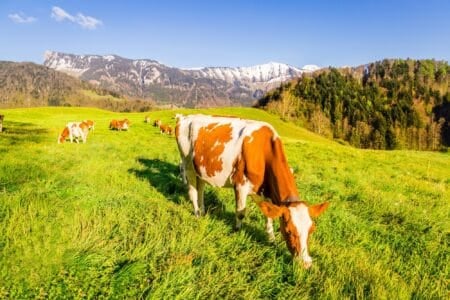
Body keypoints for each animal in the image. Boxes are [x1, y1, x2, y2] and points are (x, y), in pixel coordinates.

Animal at [174, 114, 328, 268]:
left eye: (311, 229)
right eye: (289, 230)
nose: (306, 263)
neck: (264, 152)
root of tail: (185, 116)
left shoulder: (266, 192)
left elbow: (269, 216)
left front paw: (271, 239)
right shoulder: (240, 185)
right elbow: (241, 213)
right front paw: (238, 231)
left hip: (200, 169)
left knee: (200, 189)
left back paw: (203, 211)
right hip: (187, 164)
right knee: (193, 192)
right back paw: (197, 214)